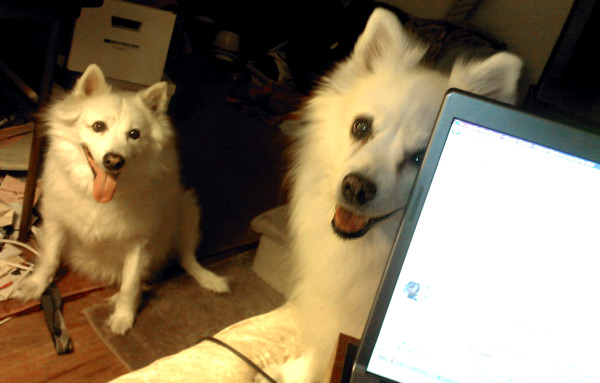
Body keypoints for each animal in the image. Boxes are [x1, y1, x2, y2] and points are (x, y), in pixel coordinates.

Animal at [18, 66, 230, 336]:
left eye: (134, 134)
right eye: (98, 126)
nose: (114, 161)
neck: (99, 197)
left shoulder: (138, 243)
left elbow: (130, 284)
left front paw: (123, 316)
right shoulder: (56, 223)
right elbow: (49, 259)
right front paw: (36, 285)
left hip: (186, 209)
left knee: (186, 258)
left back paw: (210, 280)